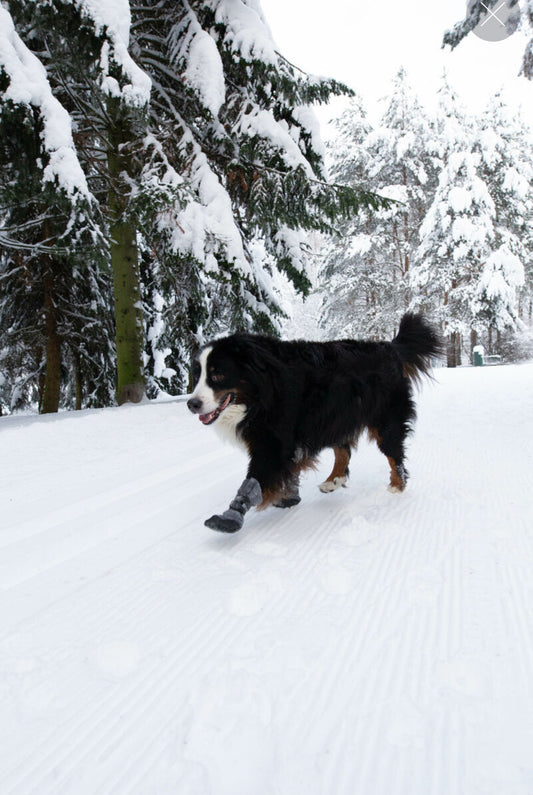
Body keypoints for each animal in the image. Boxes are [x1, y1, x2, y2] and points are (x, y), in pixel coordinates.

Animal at [187, 313, 442, 532]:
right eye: (197, 375)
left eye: (218, 374)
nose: (192, 403)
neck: (260, 391)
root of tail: (390, 348)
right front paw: (288, 497)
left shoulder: (272, 440)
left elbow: (255, 478)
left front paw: (231, 515)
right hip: (337, 416)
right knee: (343, 451)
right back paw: (334, 480)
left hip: (384, 417)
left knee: (393, 451)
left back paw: (397, 485)